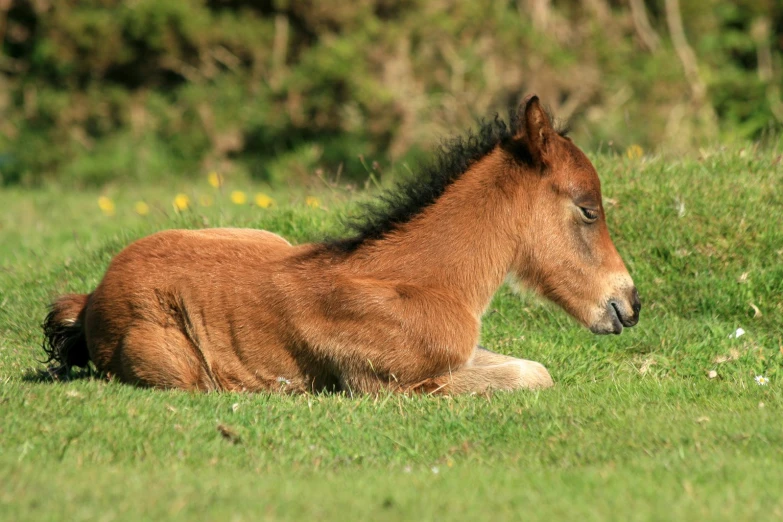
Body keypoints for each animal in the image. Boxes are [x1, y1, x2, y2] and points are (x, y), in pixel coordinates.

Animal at [43, 95, 640, 392]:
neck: (420, 283)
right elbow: (527, 379)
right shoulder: (386, 388)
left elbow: (531, 369)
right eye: (588, 210)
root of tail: (93, 297)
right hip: (177, 372)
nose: (630, 304)